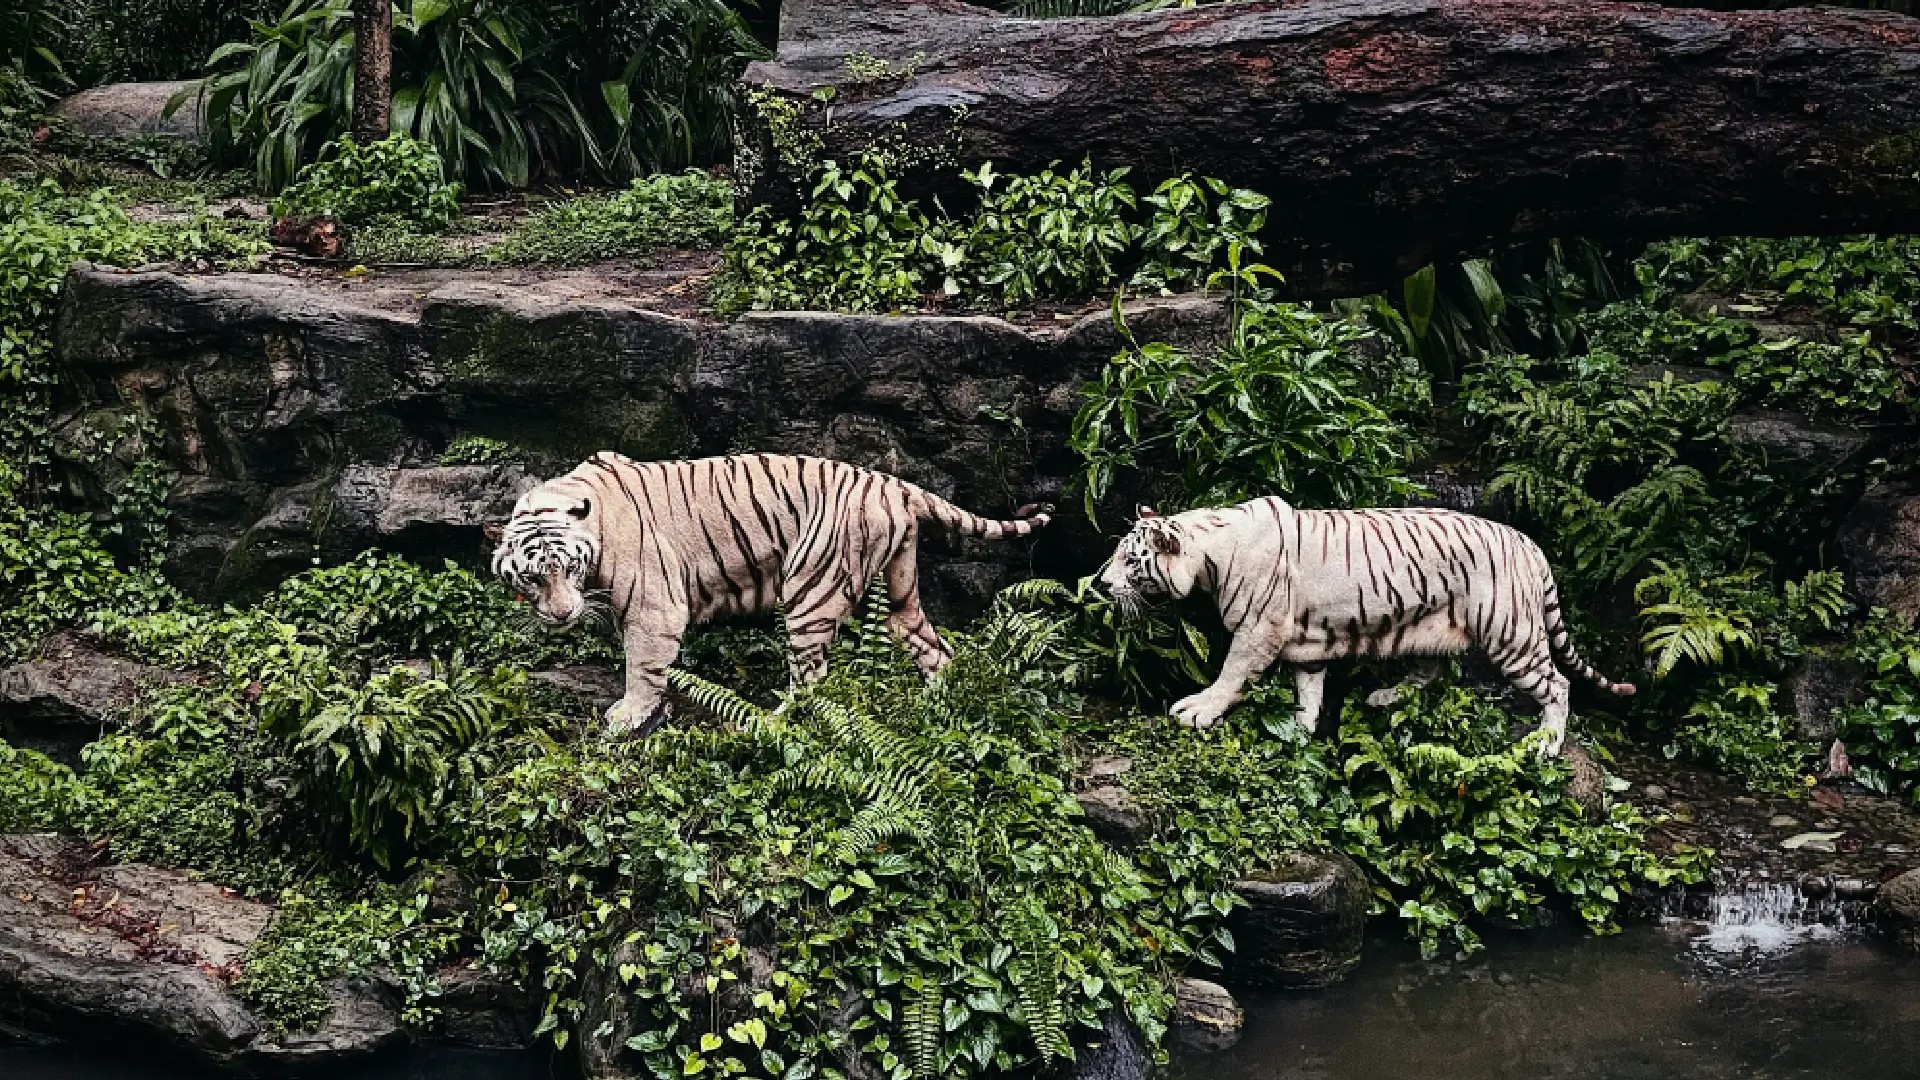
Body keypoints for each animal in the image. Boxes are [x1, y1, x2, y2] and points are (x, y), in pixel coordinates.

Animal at [487, 452, 1051, 734]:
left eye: (569, 567)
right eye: (532, 577)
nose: (562, 616)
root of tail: (894, 483)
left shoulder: (654, 609)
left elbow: (642, 667)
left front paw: (627, 716)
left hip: (810, 591)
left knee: (813, 680)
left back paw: (769, 724)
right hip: (899, 589)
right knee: (933, 647)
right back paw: (941, 706)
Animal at [1095, 498, 1634, 756]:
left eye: (1131, 559)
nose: (1100, 583)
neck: (1209, 552)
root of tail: (1530, 544)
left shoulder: (1257, 630)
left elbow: (1231, 674)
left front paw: (1198, 711)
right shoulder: (1306, 644)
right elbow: (1308, 691)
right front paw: (1299, 732)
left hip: (1511, 633)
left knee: (1558, 684)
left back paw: (1547, 743)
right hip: (1431, 625)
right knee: (1431, 671)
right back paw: (1385, 696)